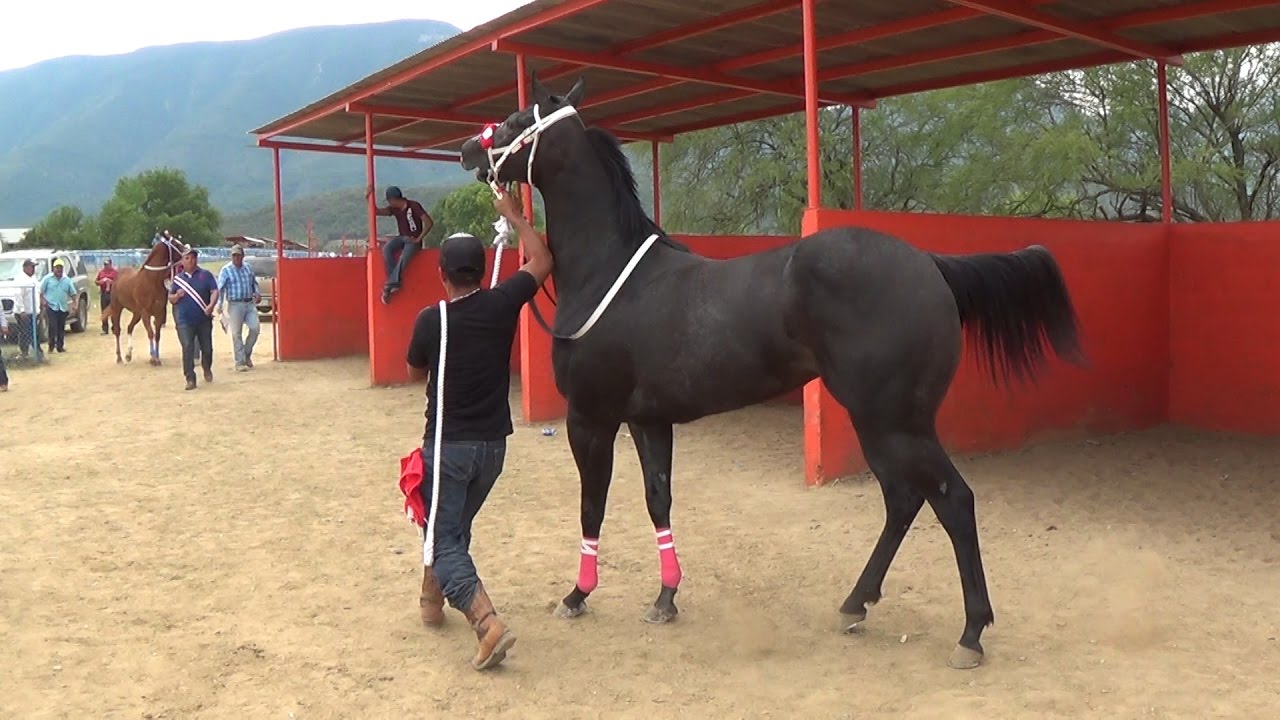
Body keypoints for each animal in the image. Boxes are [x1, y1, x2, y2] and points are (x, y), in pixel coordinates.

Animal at [459, 74, 1085, 669]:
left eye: (514, 120)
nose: (468, 149)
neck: (611, 273)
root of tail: (929, 264)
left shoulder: (591, 419)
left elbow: (593, 505)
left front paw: (577, 595)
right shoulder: (649, 421)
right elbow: (659, 500)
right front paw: (666, 598)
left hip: (896, 423)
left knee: (953, 501)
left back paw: (970, 633)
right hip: (879, 424)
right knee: (904, 501)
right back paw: (856, 604)